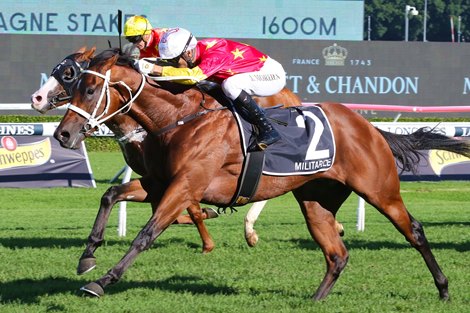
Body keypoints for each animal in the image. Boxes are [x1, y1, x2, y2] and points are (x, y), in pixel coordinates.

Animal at [56, 49, 470, 300]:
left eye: (89, 89)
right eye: (73, 85)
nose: (63, 135)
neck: (180, 118)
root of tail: (368, 127)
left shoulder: (186, 187)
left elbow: (147, 233)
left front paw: (102, 281)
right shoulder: (164, 184)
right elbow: (110, 195)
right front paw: (87, 256)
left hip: (379, 189)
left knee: (413, 230)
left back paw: (443, 288)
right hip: (316, 199)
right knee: (336, 254)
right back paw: (315, 299)